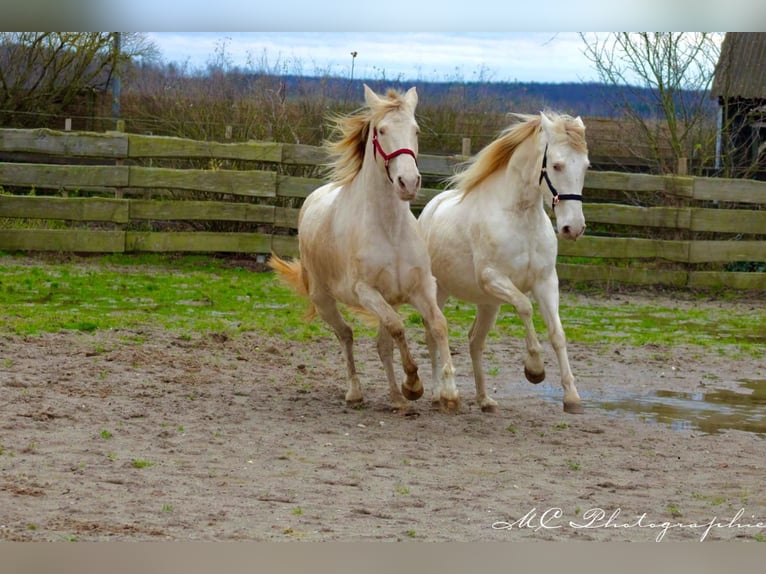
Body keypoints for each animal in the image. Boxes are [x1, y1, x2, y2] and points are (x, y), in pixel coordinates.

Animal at [272, 83, 462, 414]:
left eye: (415, 130)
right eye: (382, 130)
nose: (408, 182)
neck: (389, 230)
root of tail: (312, 198)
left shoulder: (421, 287)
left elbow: (438, 325)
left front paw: (448, 393)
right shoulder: (366, 291)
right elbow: (397, 327)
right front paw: (413, 384)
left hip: (390, 299)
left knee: (381, 345)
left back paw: (397, 399)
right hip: (324, 299)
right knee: (346, 334)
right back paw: (356, 392)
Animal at [420, 112, 588, 416]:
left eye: (585, 166)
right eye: (556, 165)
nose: (573, 228)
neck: (519, 217)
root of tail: (430, 208)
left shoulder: (546, 282)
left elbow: (557, 333)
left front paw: (572, 398)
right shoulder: (493, 277)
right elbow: (524, 306)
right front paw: (534, 369)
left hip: (488, 303)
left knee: (475, 340)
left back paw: (484, 399)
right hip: (439, 291)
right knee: (433, 333)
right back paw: (442, 394)